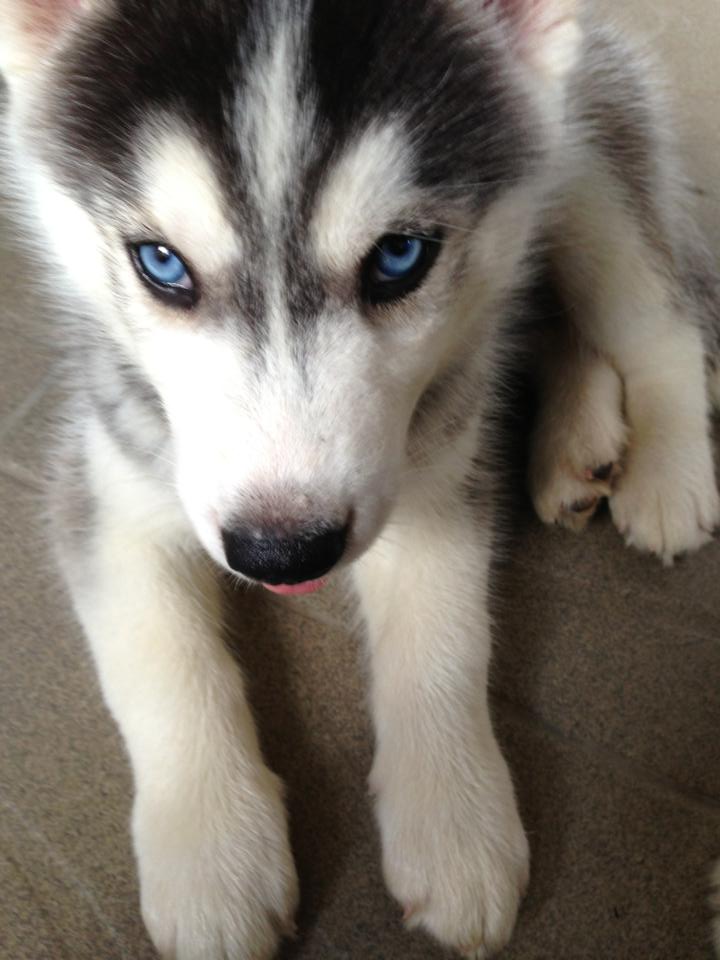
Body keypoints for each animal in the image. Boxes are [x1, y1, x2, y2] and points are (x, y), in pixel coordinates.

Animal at [1, 0, 719, 957]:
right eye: (160, 263)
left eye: (400, 257)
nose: (283, 551)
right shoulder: (107, 477)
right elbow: (160, 664)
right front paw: (212, 855)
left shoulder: (434, 471)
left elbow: (442, 638)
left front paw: (455, 817)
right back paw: (576, 440)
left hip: (589, 174)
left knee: (660, 318)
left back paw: (668, 470)